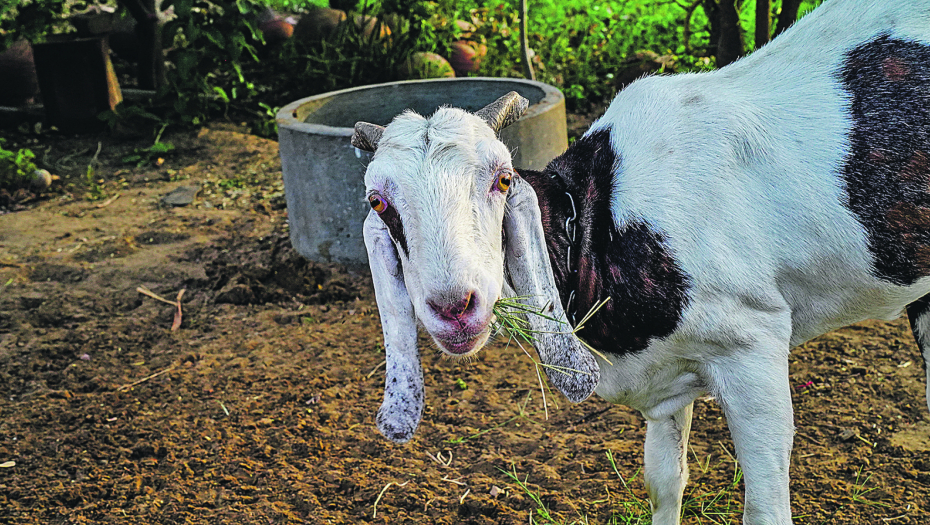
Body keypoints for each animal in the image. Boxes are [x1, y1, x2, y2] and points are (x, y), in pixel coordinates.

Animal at [350, 2, 928, 520]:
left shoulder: (754, 347)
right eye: (378, 202)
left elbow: (764, 507)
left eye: (503, 178)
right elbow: (663, 483)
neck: (594, 224)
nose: (455, 306)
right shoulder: (667, 381)